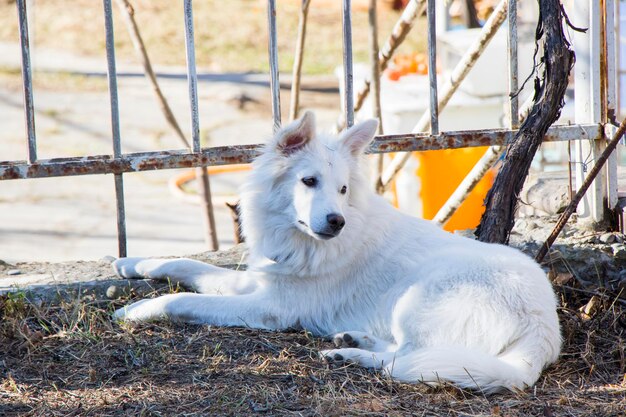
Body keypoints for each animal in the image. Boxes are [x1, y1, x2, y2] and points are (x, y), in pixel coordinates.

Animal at [113, 111, 560, 394]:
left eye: (342, 189)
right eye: (308, 181)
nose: (336, 221)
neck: (296, 239)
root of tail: (543, 331)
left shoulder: (270, 308)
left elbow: (181, 300)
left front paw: (137, 310)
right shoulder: (256, 281)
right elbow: (185, 263)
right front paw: (131, 263)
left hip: (416, 297)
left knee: (407, 360)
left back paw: (350, 354)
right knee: (404, 352)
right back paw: (354, 338)